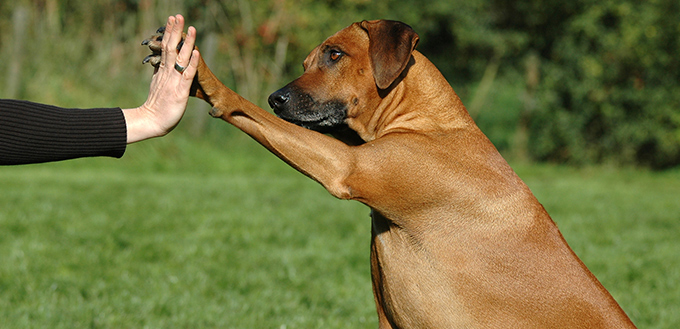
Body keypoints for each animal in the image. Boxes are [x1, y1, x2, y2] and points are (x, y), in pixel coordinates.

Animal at [141, 19, 636, 326]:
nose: (275, 99)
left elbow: (240, 106)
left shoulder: (346, 166)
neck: (427, 121)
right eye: (306, 63)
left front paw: (203, 77)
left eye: (334, 55)